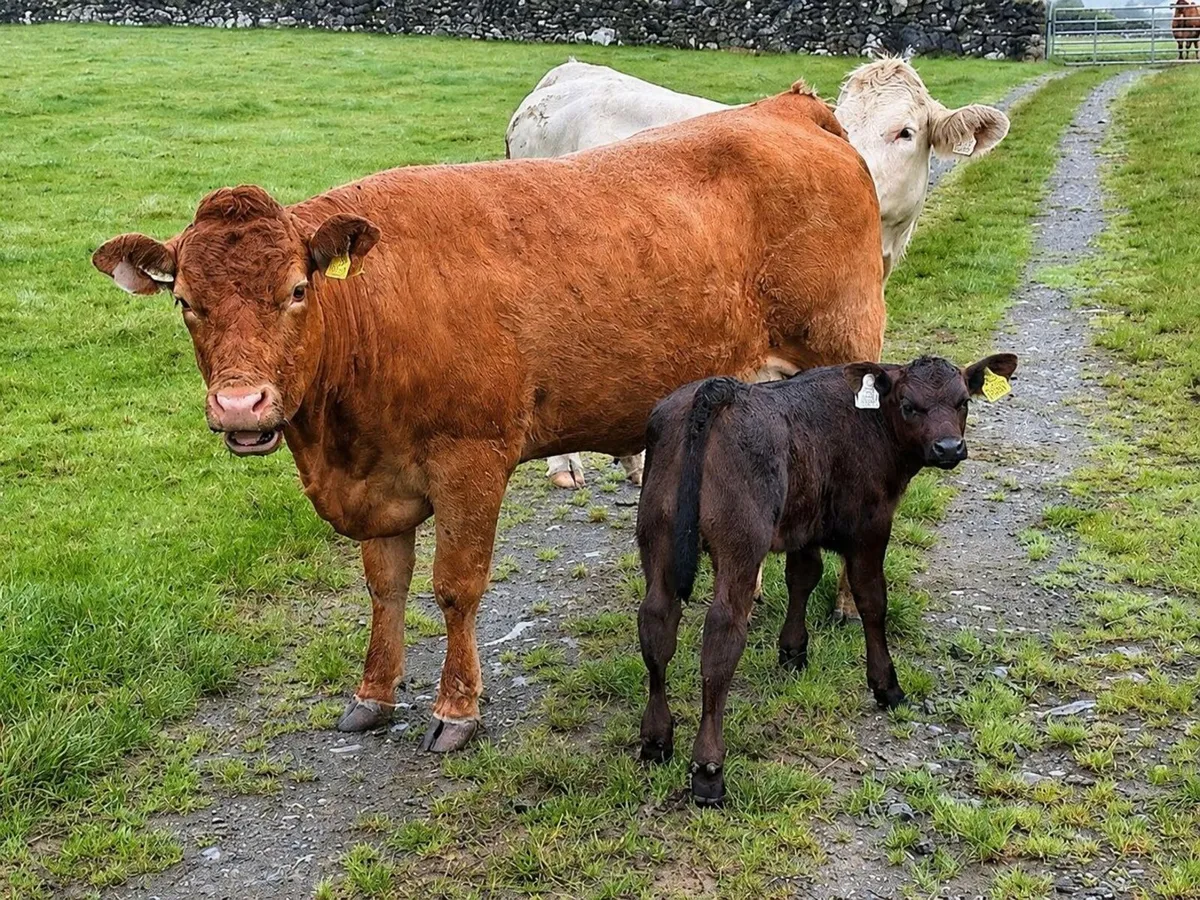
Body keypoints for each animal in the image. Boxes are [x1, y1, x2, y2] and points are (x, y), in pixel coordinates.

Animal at [93, 81, 885, 753]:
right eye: (185, 302)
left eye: (295, 290)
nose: (240, 405)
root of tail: (786, 107)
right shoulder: (379, 479)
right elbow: (385, 586)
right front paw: (373, 694)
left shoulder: (470, 459)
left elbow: (456, 586)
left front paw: (456, 710)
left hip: (846, 349)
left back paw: (849, 607)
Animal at [635, 353, 1018, 806]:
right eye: (910, 406)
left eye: (963, 402)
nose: (948, 448)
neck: (870, 417)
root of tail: (714, 393)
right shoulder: (870, 525)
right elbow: (871, 600)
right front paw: (886, 685)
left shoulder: (804, 523)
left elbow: (803, 577)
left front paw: (793, 652)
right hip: (740, 542)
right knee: (722, 636)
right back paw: (709, 770)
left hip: (657, 534)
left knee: (657, 622)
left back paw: (656, 739)